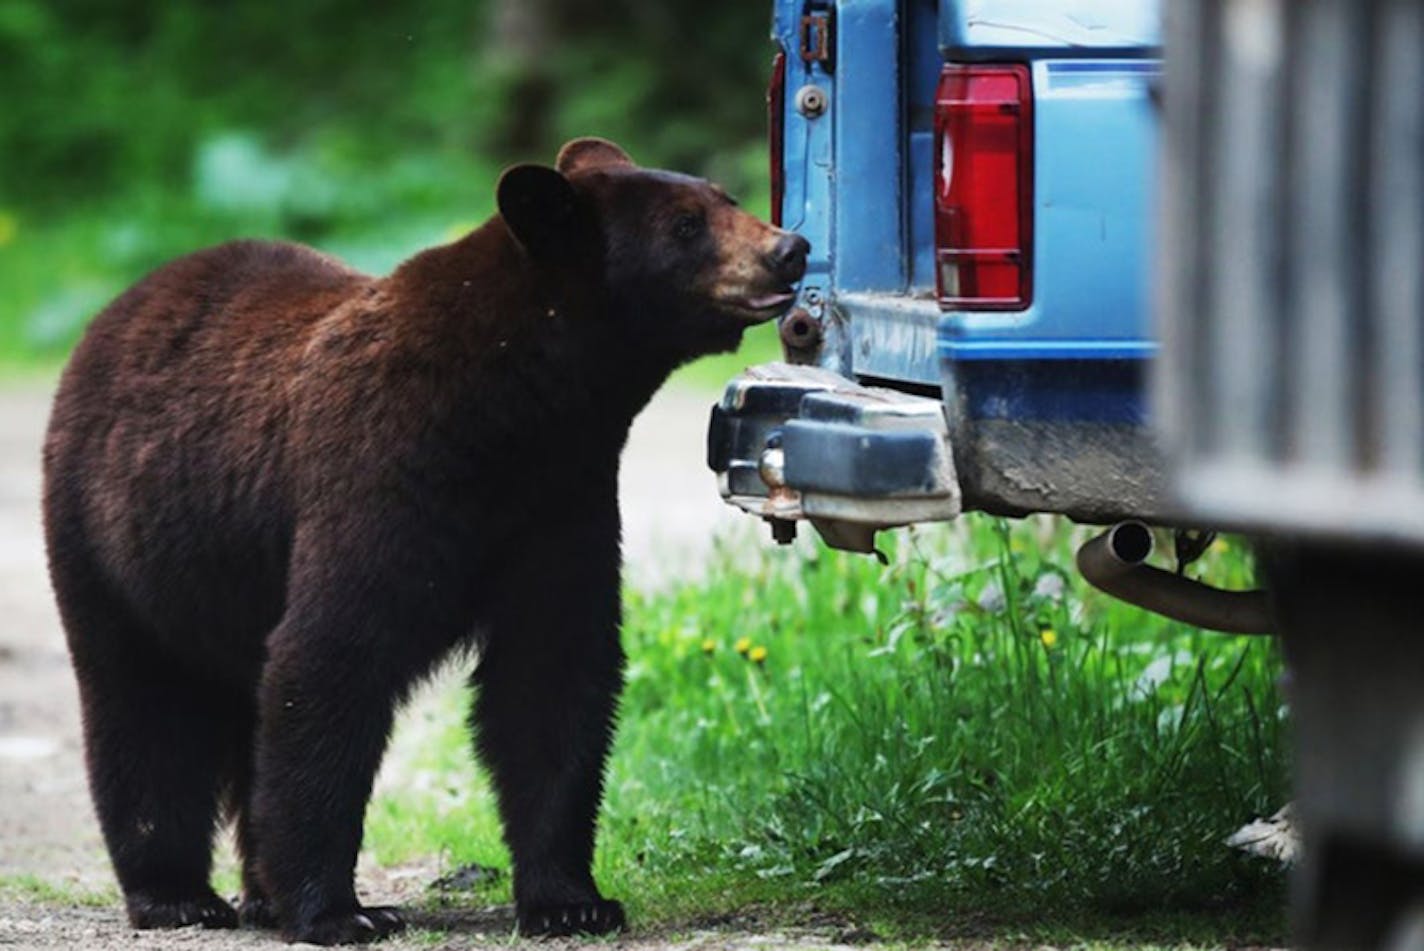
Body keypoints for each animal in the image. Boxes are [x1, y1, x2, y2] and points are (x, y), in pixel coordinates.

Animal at [41, 139, 803, 945]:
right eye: (686, 224)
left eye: (724, 197)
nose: (789, 249)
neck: (513, 408)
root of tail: (118, 307)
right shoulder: (380, 474)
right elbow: (330, 658)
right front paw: (340, 909)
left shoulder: (563, 503)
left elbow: (552, 678)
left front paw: (572, 899)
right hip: (116, 543)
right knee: (143, 707)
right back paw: (176, 892)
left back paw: (256, 892)